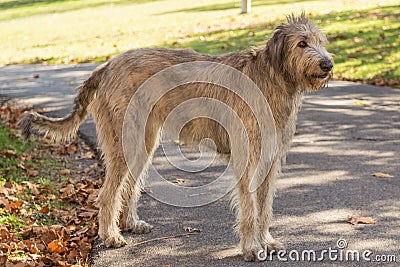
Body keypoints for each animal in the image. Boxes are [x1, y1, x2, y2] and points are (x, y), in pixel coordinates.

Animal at [18, 13, 332, 262]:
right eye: (302, 43)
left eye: (320, 41)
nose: (328, 65)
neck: (272, 77)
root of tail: (106, 65)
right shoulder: (247, 157)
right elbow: (250, 209)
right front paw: (251, 249)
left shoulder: (269, 160)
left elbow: (264, 206)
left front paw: (266, 241)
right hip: (126, 141)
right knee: (108, 194)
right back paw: (110, 236)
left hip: (143, 142)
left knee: (130, 186)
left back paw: (130, 223)